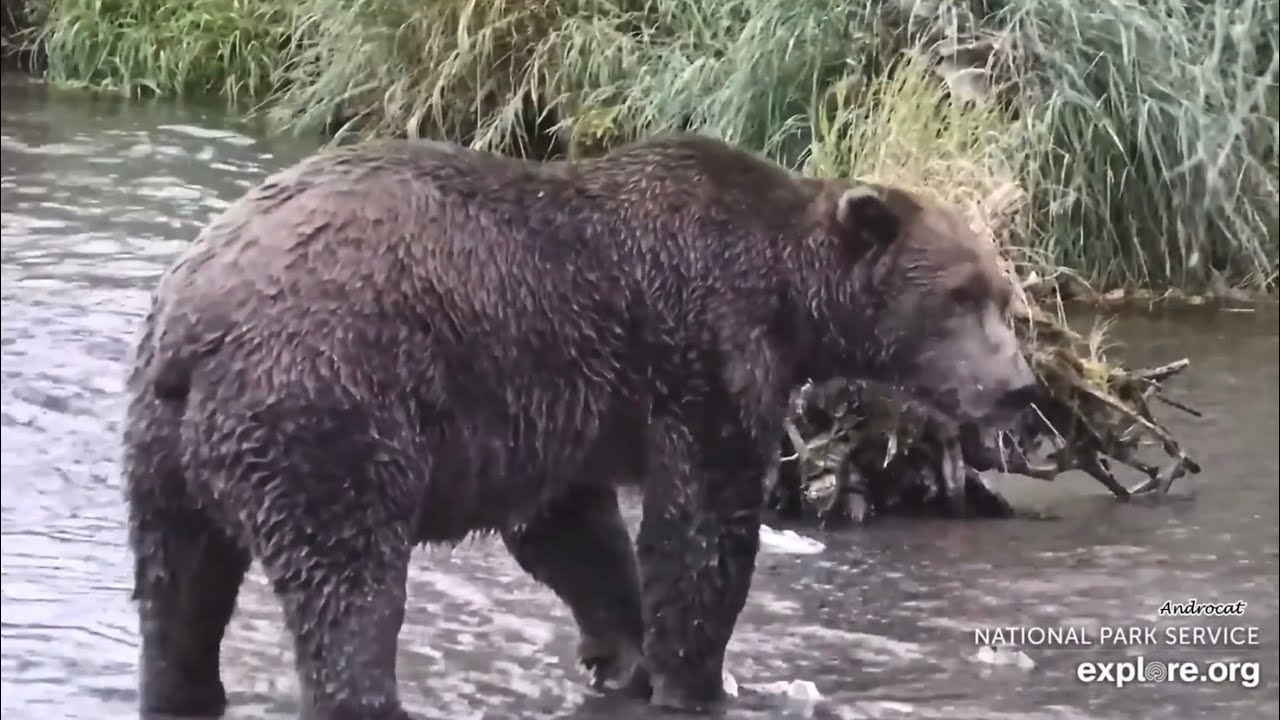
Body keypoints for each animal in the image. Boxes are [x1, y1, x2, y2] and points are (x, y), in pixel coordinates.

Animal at [121, 132, 1038, 720]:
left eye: (1003, 294)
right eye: (958, 295)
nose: (1019, 385)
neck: (789, 297)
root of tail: (193, 326)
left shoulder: (564, 410)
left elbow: (571, 533)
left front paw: (622, 655)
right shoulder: (703, 348)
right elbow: (702, 531)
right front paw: (699, 679)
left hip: (166, 450)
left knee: (179, 591)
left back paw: (182, 686)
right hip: (330, 405)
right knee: (347, 585)